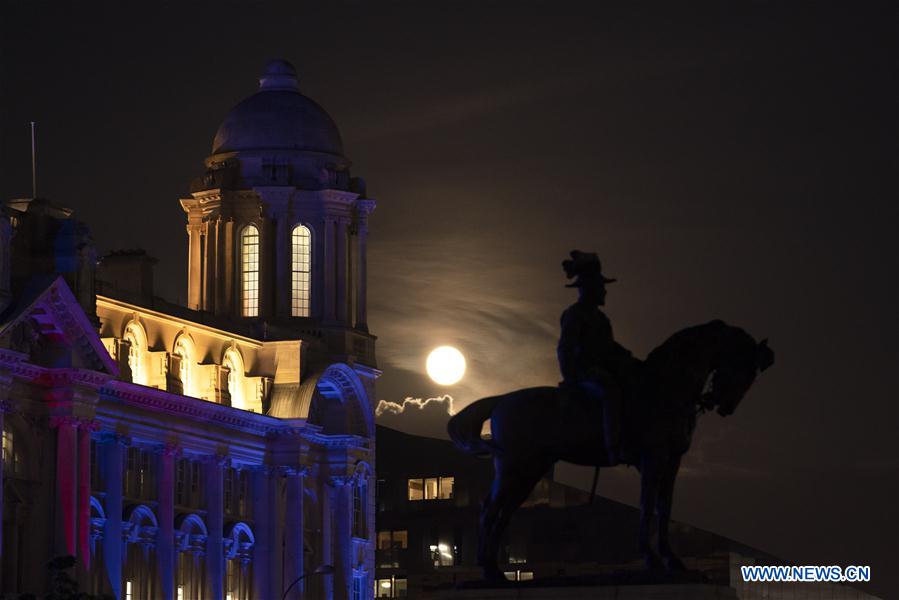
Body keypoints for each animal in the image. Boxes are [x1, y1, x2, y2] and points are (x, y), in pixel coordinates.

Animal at [448, 322, 772, 580]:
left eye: (753, 374)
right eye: (743, 367)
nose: (725, 406)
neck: (666, 387)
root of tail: (501, 400)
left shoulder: (672, 462)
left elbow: (664, 509)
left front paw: (671, 560)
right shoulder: (653, 458)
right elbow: (647, 506)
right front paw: (652, 559)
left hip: (531, 471)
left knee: (504, 512)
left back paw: (494, 569)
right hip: (513, 467)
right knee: (489, 507)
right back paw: (488, 568)